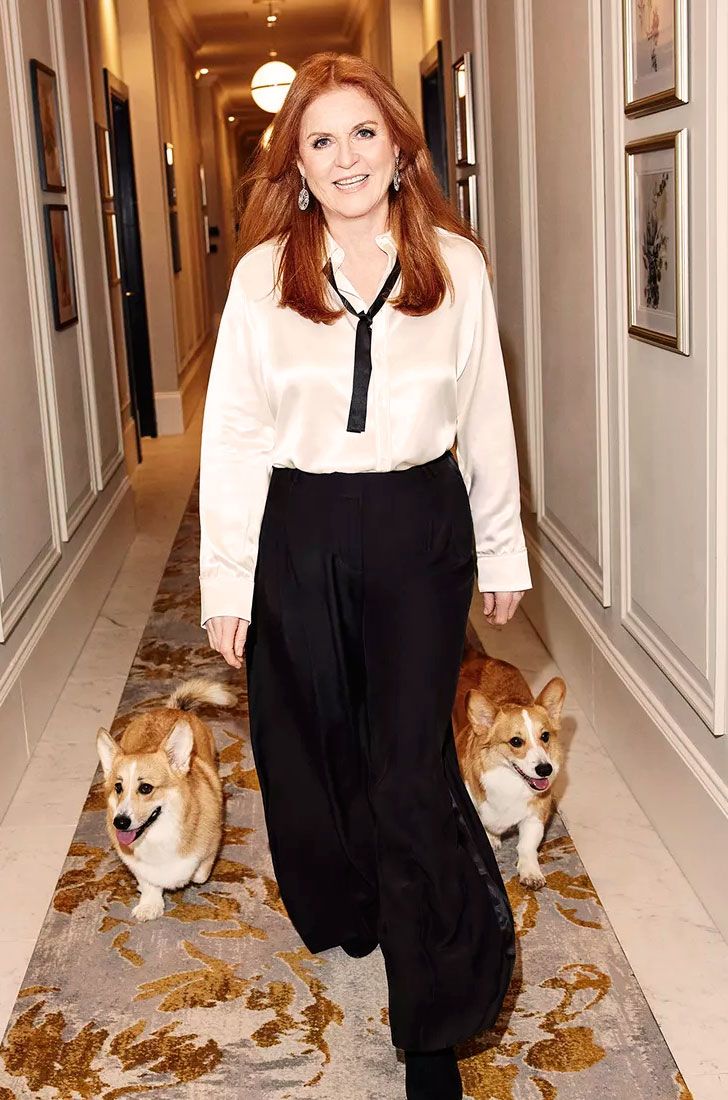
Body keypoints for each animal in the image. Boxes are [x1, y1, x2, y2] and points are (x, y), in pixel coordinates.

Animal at [96, 677, 236, 919]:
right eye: (118, 787)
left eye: (146, 788)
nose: (120, 822)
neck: (157, 835)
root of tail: (172, 709)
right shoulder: (136, 863)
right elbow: (148, 880)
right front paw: (149, 903)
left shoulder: (211, 848)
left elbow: (199, 873)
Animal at [453, 642, 567, 888]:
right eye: (516, 741)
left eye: (545, 736)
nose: (545, 770)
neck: (509, 782)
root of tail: (479, 656)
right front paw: (492, 839)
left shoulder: (536, 813)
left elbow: (527, 845)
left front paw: (531, 872)